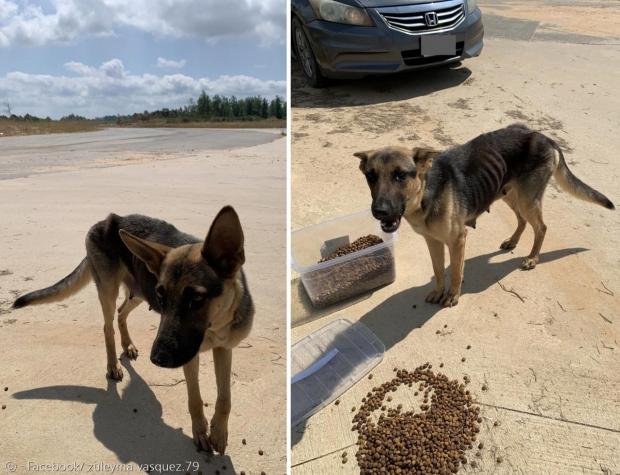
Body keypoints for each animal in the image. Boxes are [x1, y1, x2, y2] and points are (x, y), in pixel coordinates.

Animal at [11, 207, 252, 454]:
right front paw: (201, 432)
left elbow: (225, 398)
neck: (216, 324)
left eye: (196, 299)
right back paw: (113, 366)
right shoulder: (189, 357)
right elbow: (195, 399)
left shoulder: (224, 349)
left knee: (121, 313)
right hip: (111, 290)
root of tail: (107, 220)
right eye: (162, 297)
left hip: (138, 292)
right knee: (108, 326)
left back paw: (127, 345)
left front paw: (219, 433)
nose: (157, 359)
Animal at [356, 122, 612, 308]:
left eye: (400, 175)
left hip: (527, 199)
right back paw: (512, 241)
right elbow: (438, 270)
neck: (427, 191)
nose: (379, 211)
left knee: (541, 227)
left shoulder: (457, 240)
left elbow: (456, 271)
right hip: (509, 194)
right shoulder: (433, 241)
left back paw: (532, 258)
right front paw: (439, 291)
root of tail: (545, 138)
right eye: (371, 176)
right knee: (522, 220)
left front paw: (453, 295)